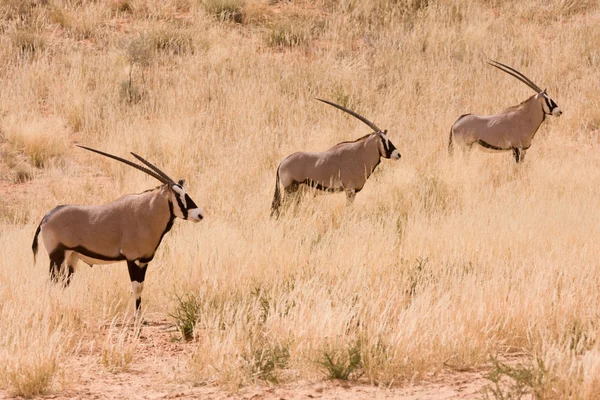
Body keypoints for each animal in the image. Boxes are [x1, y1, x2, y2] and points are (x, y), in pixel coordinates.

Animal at [31, 145, 205, 318]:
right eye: (177, 195)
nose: (199, 214)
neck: (147, 213)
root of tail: (47, 216)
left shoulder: (144, 261)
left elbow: (141, 287)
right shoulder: (132, 259)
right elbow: (137, 287)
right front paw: (137, 319)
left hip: (72, 257)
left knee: (63, 283)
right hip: (57, 256)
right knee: (52, 283)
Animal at [270, 98, 400, 217]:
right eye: (384, 140)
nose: (398, 154)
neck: (360, 154)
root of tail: (282, 163)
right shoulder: (350, 191)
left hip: (298, 192)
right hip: (290, 189)